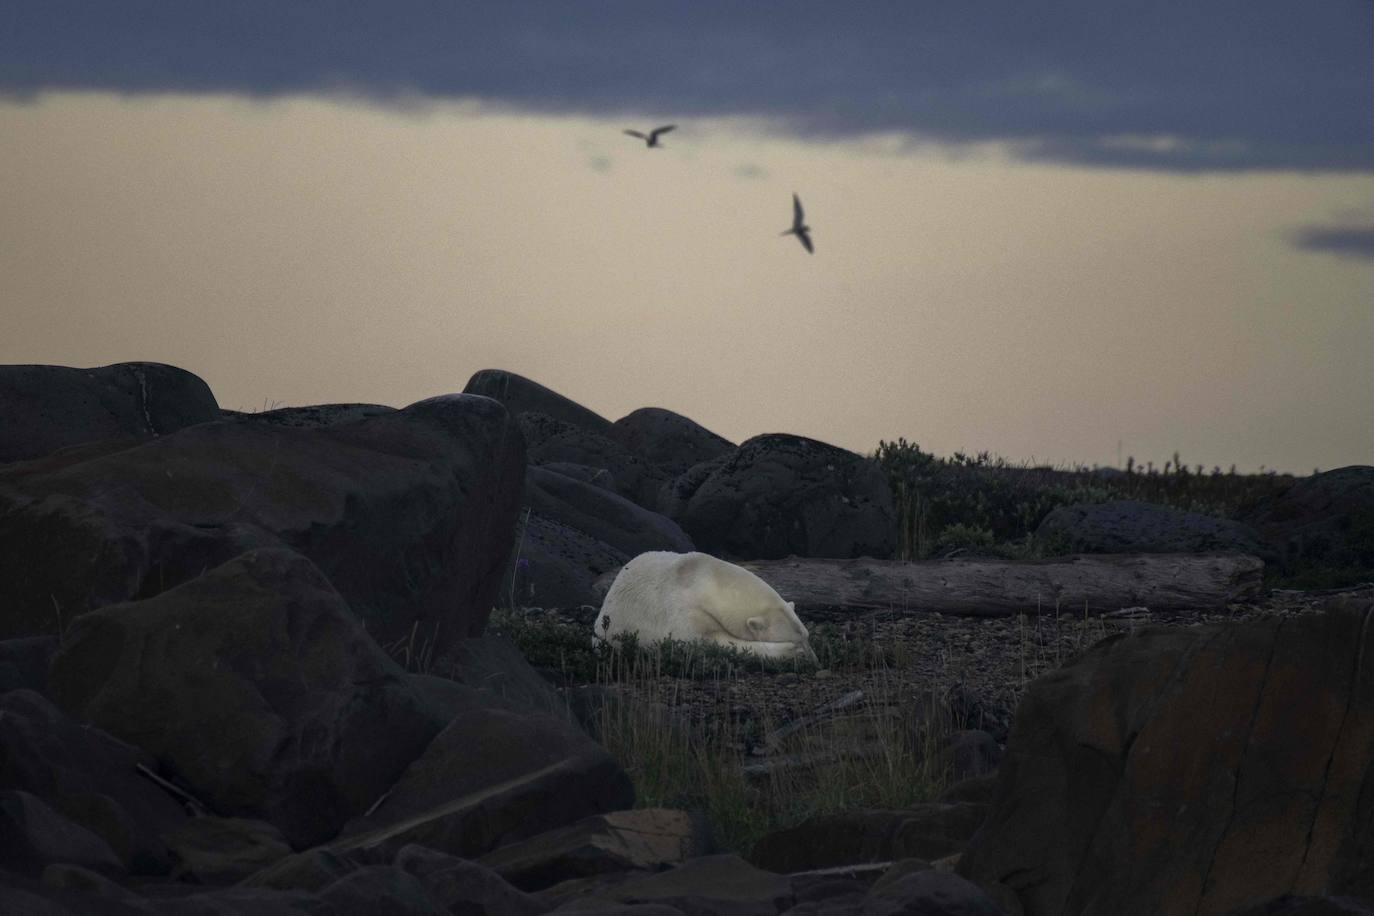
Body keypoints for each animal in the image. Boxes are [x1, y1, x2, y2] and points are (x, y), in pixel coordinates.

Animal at [593, 549, 813, 661]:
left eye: (807, 636)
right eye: (797, 640)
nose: (815, 660)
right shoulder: (681, 611)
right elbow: (703, 641)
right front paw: (791, 651)